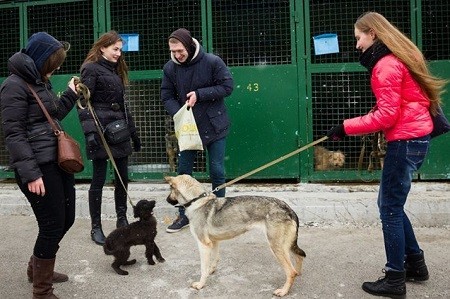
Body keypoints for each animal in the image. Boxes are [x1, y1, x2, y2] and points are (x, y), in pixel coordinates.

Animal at [164, 175, 306, 298]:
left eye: (170, 189)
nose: (166, 200)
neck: (197, 201)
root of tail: (288, 208)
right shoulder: (214, 242)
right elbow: (214, 260)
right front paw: (211, 271)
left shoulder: (203, 244)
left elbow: (203, 269)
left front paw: (200, 285)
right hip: (286, 246)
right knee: (298, 258)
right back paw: (298, 274)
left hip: (276, 247)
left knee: (291, 271)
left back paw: (284, 291)